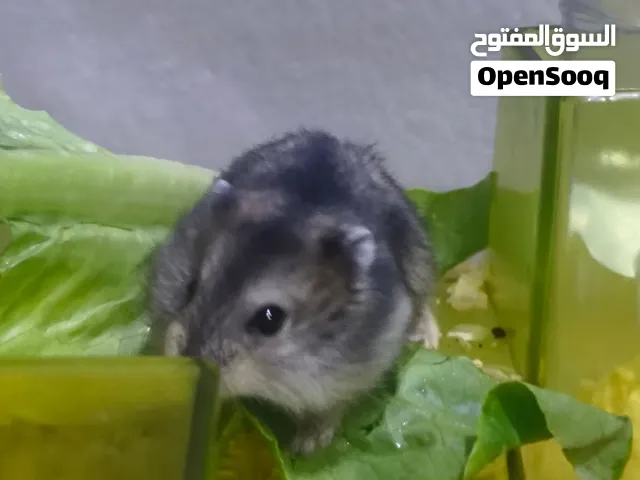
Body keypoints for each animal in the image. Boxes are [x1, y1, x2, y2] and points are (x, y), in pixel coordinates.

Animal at [147, 129, 441, 455]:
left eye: (270, 319)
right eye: (190, 286)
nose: (189, 363)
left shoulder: (347, 377)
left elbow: (328, 410)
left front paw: (305, 448)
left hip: (421, 264)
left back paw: (428, 339)